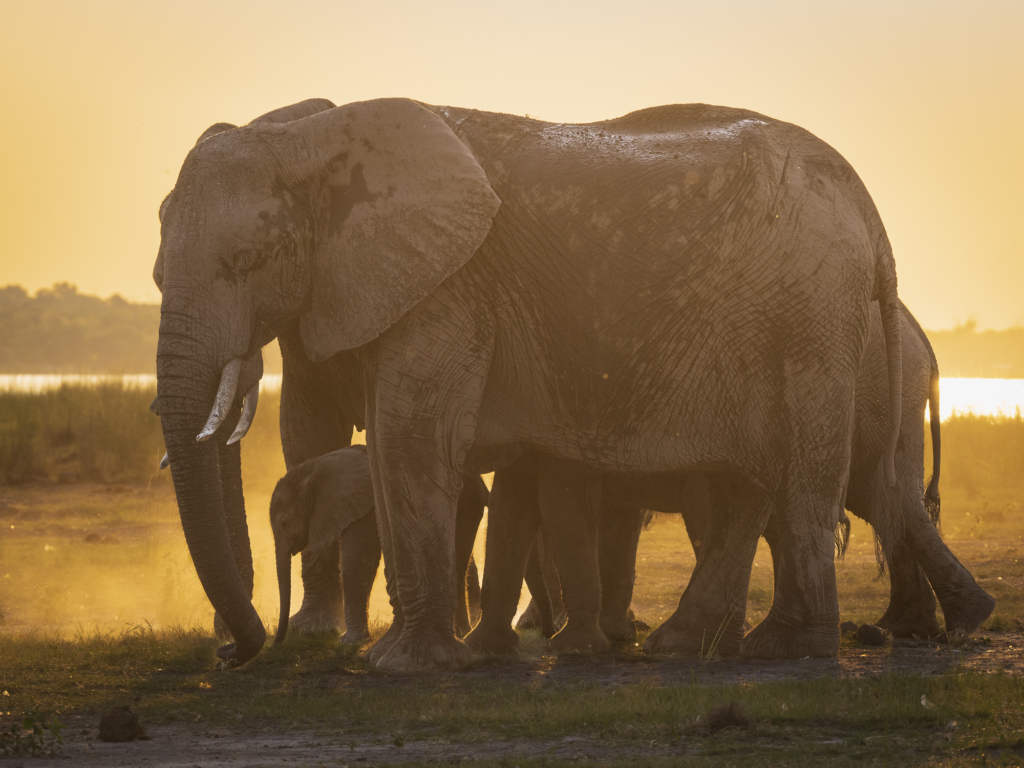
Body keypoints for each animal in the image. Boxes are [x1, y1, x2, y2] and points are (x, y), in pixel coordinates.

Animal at [272, 444, 487, 651]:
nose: (277, 641)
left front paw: (348, 642)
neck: (314, 469)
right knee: (460, 564)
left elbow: (357, 561)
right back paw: (461, 633)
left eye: (284, 523)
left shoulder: (365, 504)